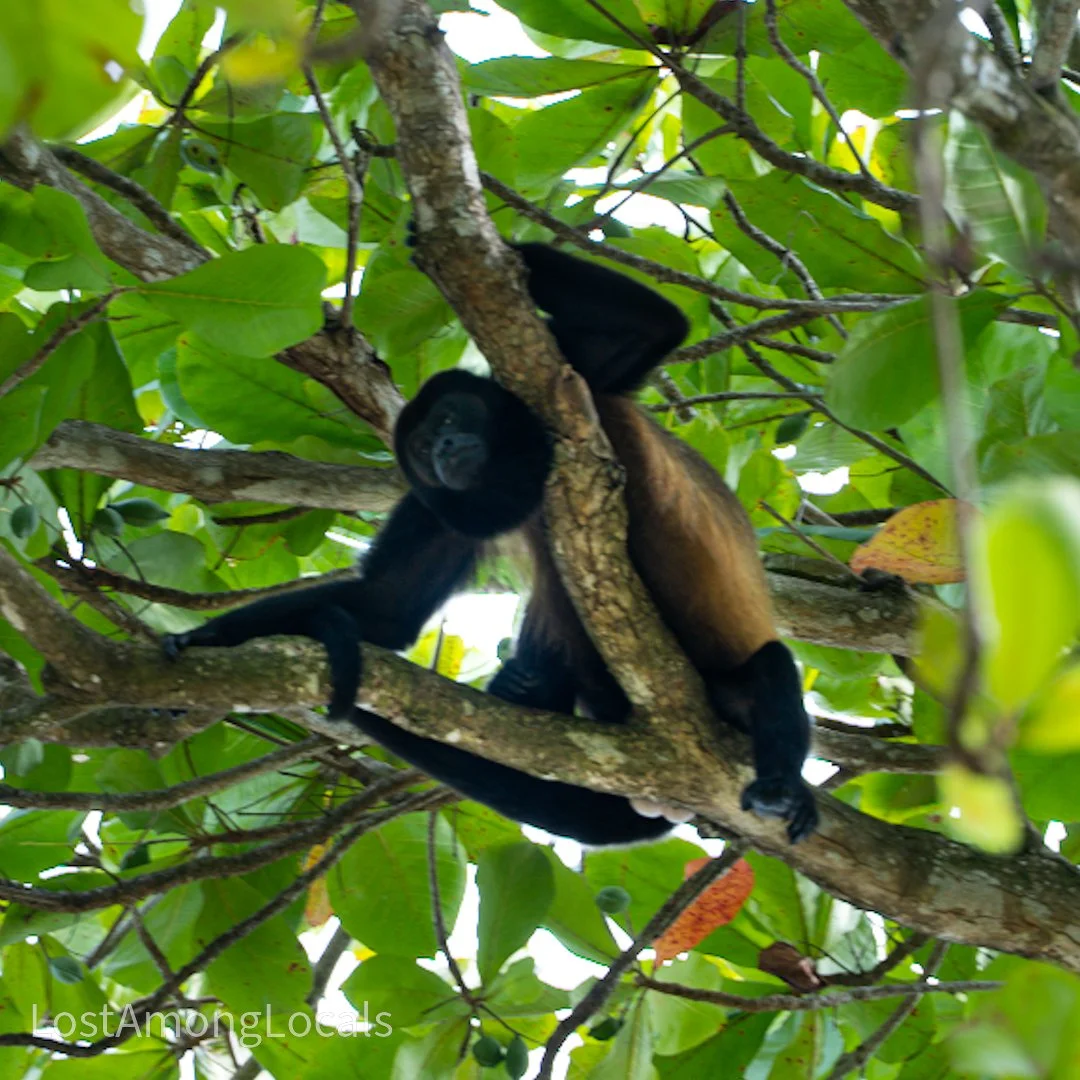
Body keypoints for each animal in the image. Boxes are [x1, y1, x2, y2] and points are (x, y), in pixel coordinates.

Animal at [164, 241, 818, 845]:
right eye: (423, 446)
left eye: (451, 420)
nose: (446, 449)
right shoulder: (435, 506)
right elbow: (385, 607)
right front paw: (207, 637)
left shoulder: (576, 377)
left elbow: (652, 323)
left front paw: (451, 241)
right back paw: (525, 687)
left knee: (771, 667)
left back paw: (785, 790)